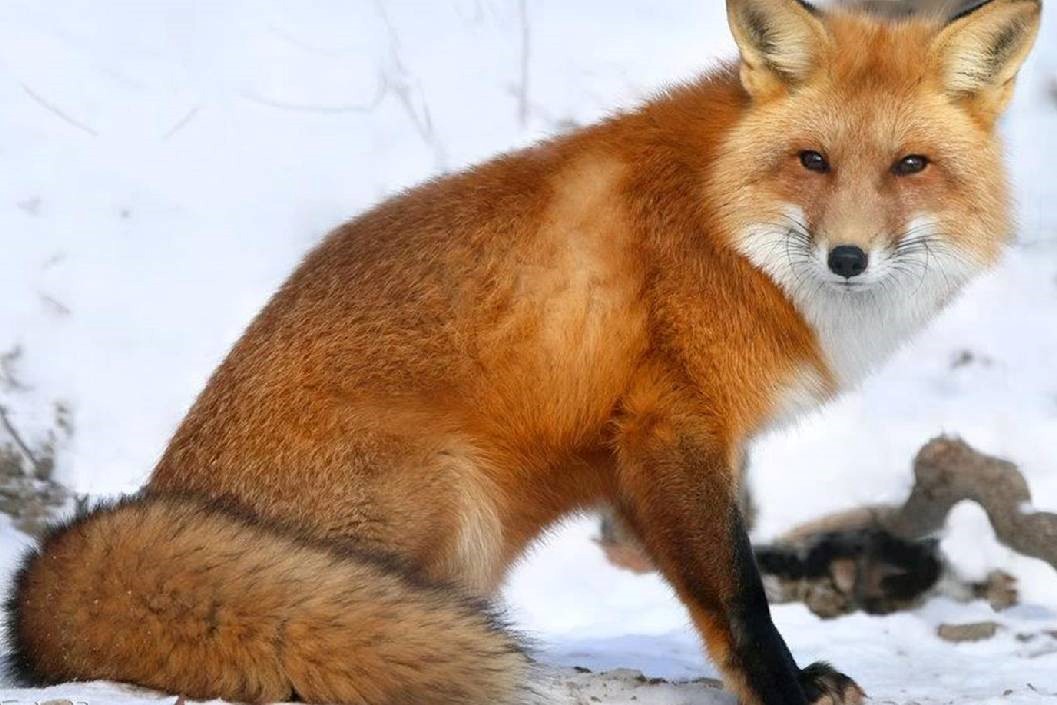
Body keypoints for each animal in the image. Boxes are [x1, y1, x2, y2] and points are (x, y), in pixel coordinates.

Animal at [5, 1, 1041, 704]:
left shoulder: (645, 460)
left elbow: (705, 600)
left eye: (909, 166)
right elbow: (738, 596)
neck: (723, 225)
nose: (847, 257)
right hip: (447, 500)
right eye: (812, 161)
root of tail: (166, 489)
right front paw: (782, 689)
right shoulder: (669, 427)